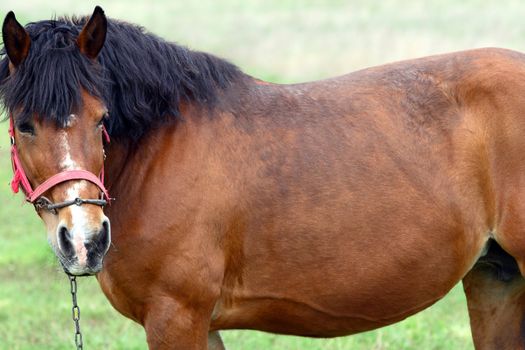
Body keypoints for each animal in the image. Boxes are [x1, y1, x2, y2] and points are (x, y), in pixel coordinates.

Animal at [3, 5, 524, 350]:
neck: (158, 149)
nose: (85, 240)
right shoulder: (202, 322)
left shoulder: (176, 316)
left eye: (102, 118)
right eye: (25, 124)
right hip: (496, 279)